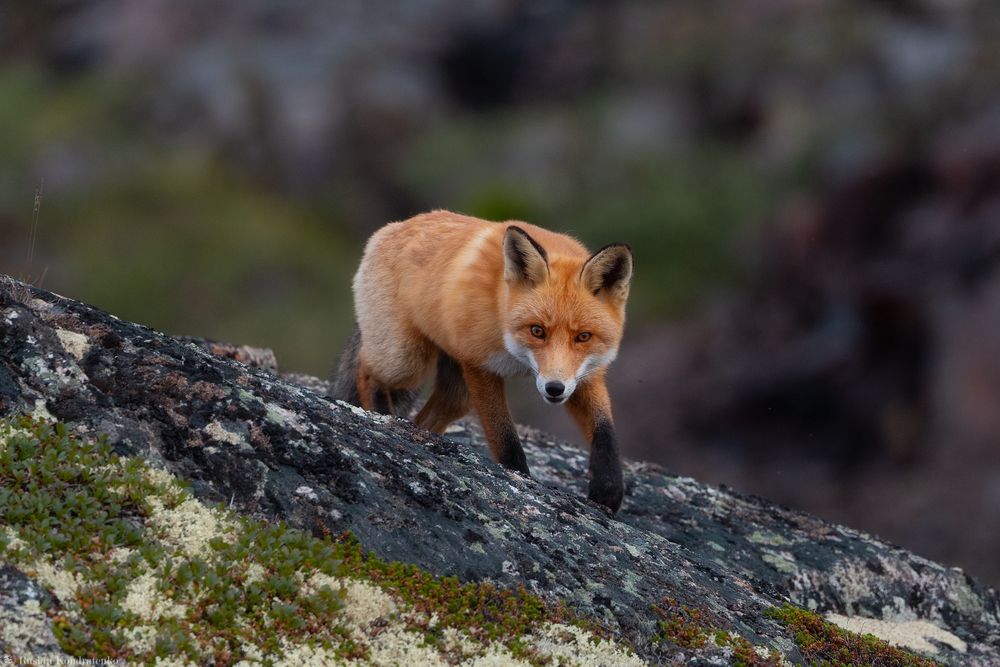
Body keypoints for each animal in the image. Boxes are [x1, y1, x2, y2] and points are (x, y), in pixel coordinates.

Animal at [331, 210, 633, 512]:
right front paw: (520, 480)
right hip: (406, 361)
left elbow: (605, 430)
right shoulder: (479, 364)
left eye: (583, 336)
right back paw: (381, 415)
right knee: (366, 368)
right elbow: (505, 438)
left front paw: (608, 489)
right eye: (537, 331)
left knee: (426, 416)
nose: (554, 389)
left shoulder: (584, 374)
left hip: (456, 392)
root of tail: (393, 227)